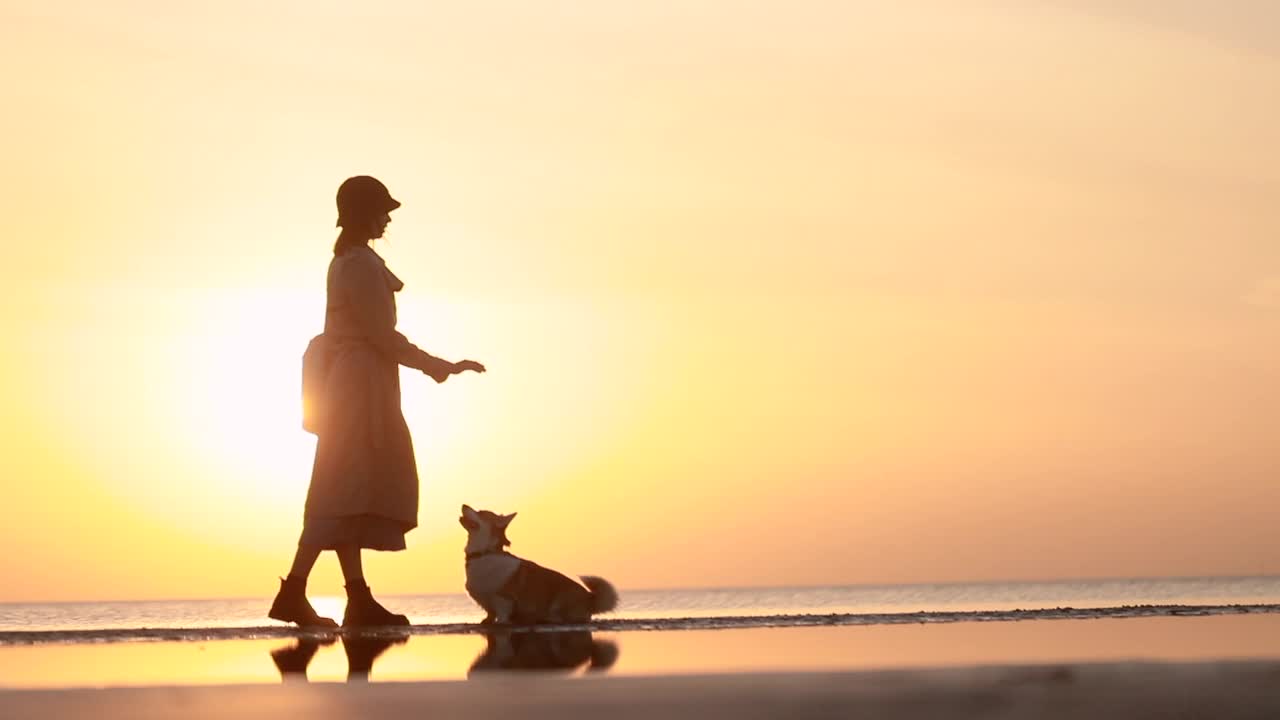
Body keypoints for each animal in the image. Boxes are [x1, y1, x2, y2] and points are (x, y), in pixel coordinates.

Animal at [460, 502, 619, 625]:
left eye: (480, 512)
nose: (463, 505)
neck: (484, 554)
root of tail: (590, 599)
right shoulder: (487, 602)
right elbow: (490, 614)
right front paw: (487, 621)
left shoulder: (503, 599)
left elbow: (502, 615)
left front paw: (501, 623)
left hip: (559, 601)